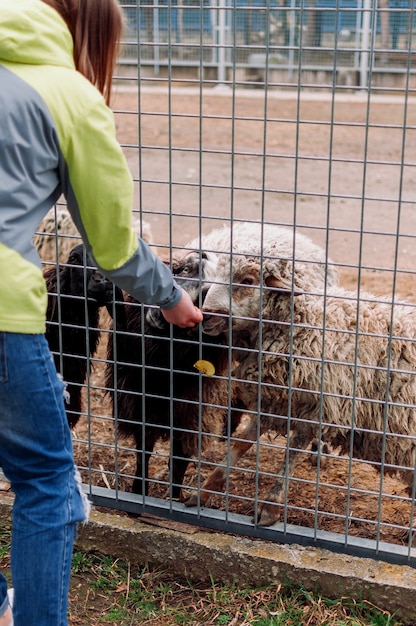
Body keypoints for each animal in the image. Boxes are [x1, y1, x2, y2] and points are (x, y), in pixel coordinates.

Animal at [194, 241, 416, 524]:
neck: (303, 325)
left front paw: (269, 507)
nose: (206, 317)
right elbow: (240, 445)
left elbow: (291, 454)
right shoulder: (272, 403)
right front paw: (203, 492)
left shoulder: (316, 412)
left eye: (247, 280)